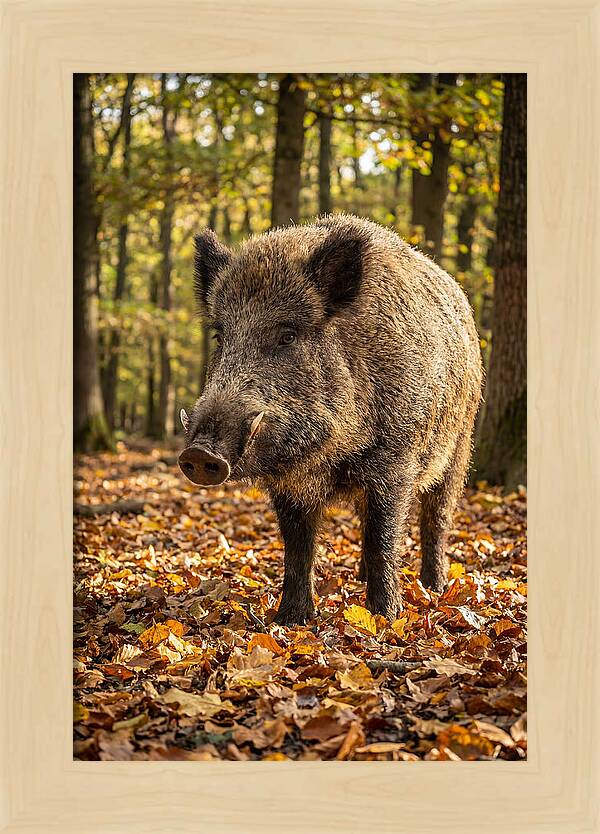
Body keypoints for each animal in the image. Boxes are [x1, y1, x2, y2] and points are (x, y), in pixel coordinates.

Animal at [179, 214, 483, 625]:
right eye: (220, 336)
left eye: (287, 335)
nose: (198, 453)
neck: (327, 456)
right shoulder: (289, 486)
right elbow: (298, 547)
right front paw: (290, 620)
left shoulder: (395, 463)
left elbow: (383, 539)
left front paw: (385, 618)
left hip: (459, 446)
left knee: (436, 519)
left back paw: (433, 587)